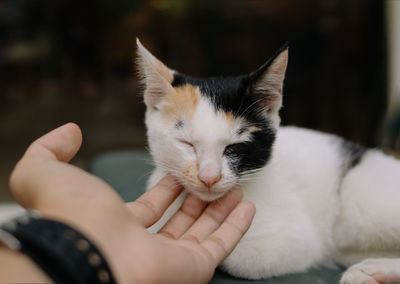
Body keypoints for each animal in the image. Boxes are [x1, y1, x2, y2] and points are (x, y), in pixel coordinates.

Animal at [136, 38, 400, 284]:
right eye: (187, 143)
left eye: (234, 146)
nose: (209, 178)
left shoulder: (303, 241)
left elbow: (241, 258)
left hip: (364, 203)